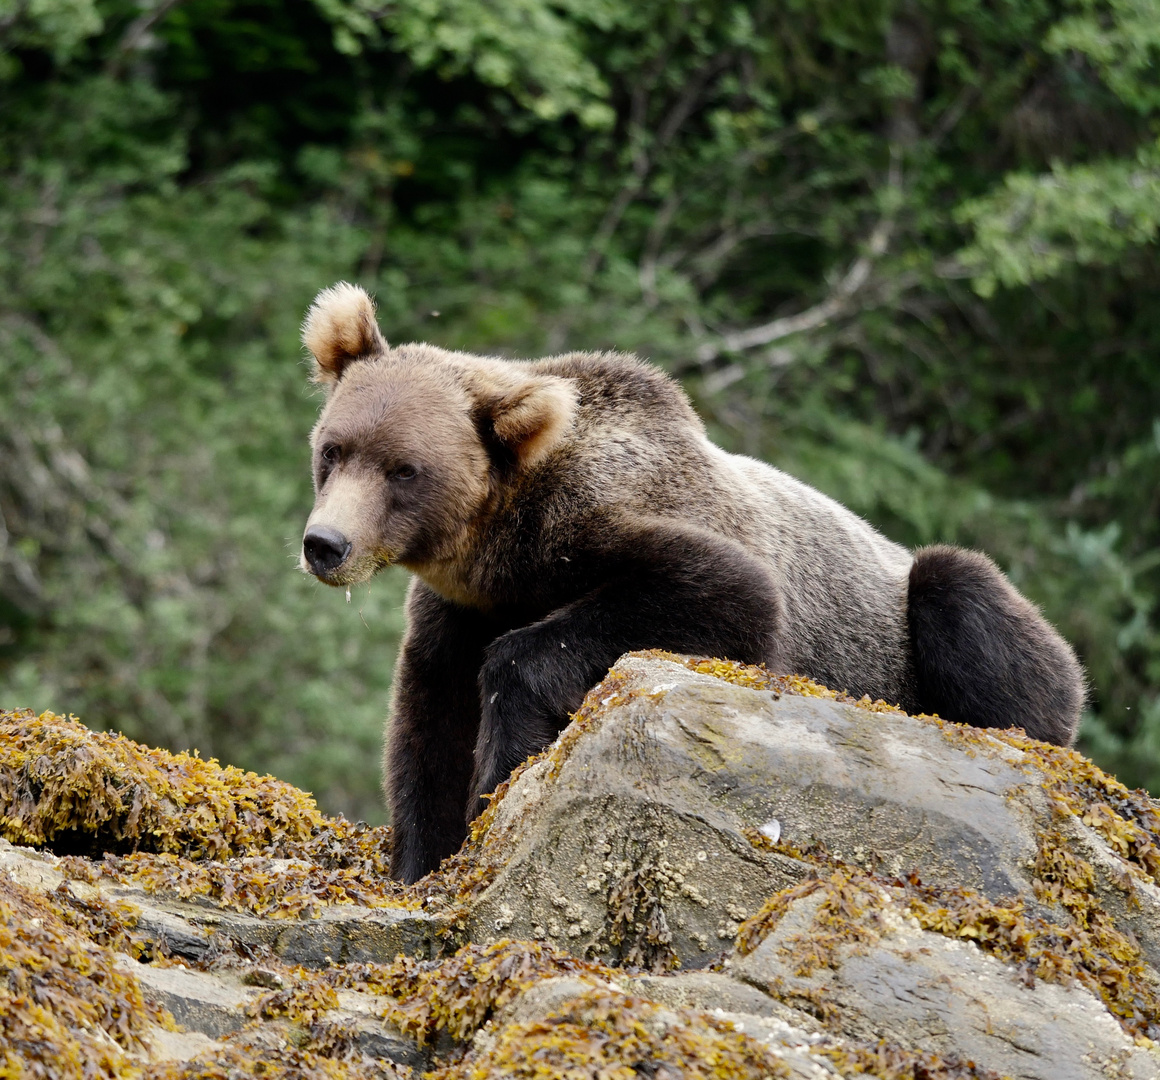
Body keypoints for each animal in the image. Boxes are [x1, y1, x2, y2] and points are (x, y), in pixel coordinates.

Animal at [299, 283, 1085, 881]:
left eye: (405, 470)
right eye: (333, 450)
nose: (326, 545)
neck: (502, 544)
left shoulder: (620, 525)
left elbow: (723, 594)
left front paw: (501, 768)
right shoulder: (460, 606)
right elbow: (430, 721)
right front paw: (423, 858)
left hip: (905, 628)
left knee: (970, 601)